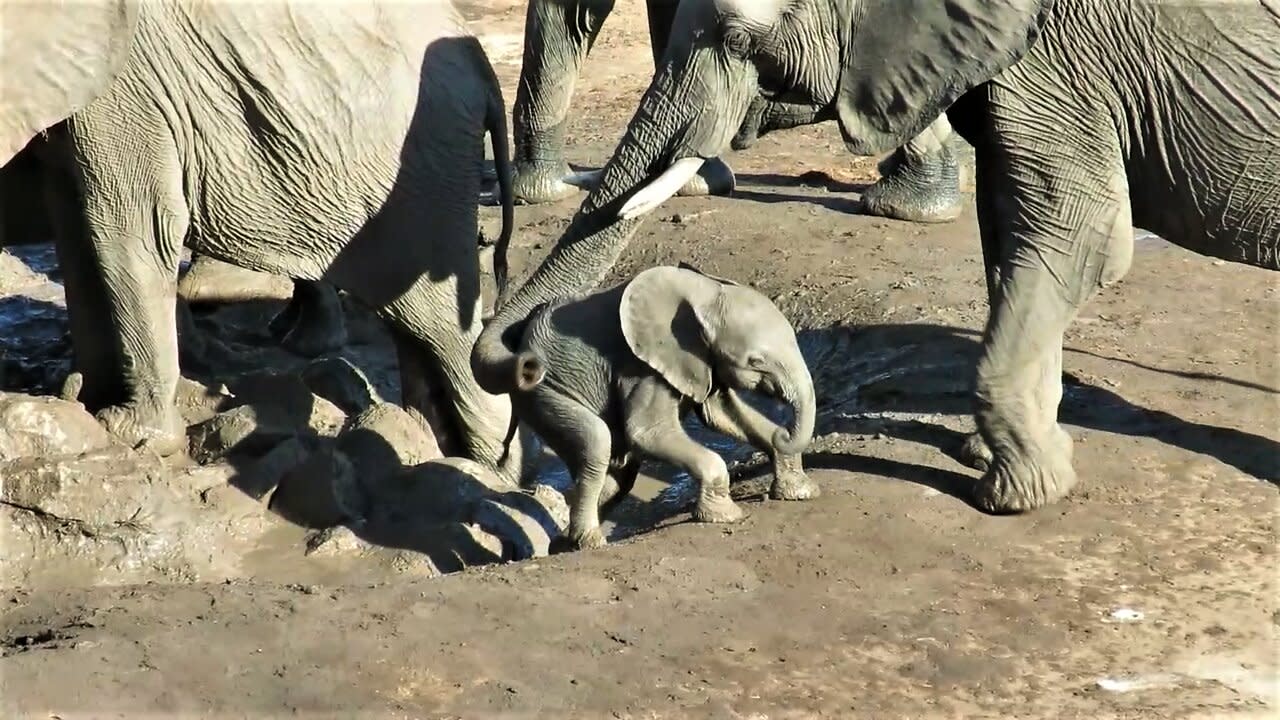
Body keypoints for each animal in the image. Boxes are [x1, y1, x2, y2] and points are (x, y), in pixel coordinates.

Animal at [2, 1, 527, 481]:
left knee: (444, 333)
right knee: (416, 332)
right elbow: (77, 228)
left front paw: (129, 431)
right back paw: (428, 444)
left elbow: (129, 231)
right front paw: (80, 397)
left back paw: (492, 476)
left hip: (423, 173)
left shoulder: (131, 91)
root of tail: (483, 68)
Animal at [509, 265, 819, 548]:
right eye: (756, 362)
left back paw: (563, 543)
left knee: (620, 475)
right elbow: (646, 431)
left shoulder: (703, 363)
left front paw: (800, 492)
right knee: (597, 444)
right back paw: (590, 542)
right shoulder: (642, 367)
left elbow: (721, 414)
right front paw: (726, 516)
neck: (704, 292)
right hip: (541, 390)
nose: (785, 431)